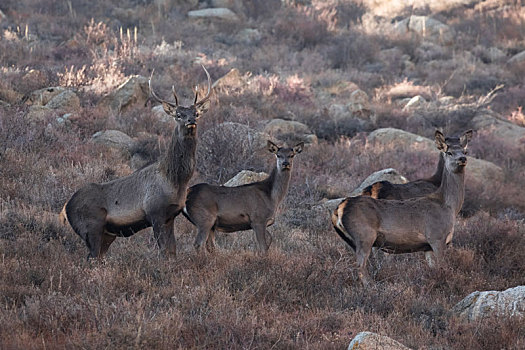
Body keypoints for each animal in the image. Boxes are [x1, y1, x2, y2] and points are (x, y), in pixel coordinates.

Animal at [59, 65, 211, 258]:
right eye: (178, 114)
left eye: (196, 113)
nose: (191, 120)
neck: (175, 180)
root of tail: (65, 209)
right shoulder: (155, 212)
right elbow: (164, 251)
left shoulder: (171, 215)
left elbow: (172, 251)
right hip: (90, 227)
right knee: (91, 256)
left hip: (107, 234)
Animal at [334, 130, 472, 286]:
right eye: (449, 152)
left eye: (465, 151)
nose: (462, 158)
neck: (450, 207)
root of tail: (339, 209)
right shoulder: (436, 236)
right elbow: (444, 267)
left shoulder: (427, 247)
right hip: (364, 235)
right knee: (361, 268)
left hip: (352, 240)